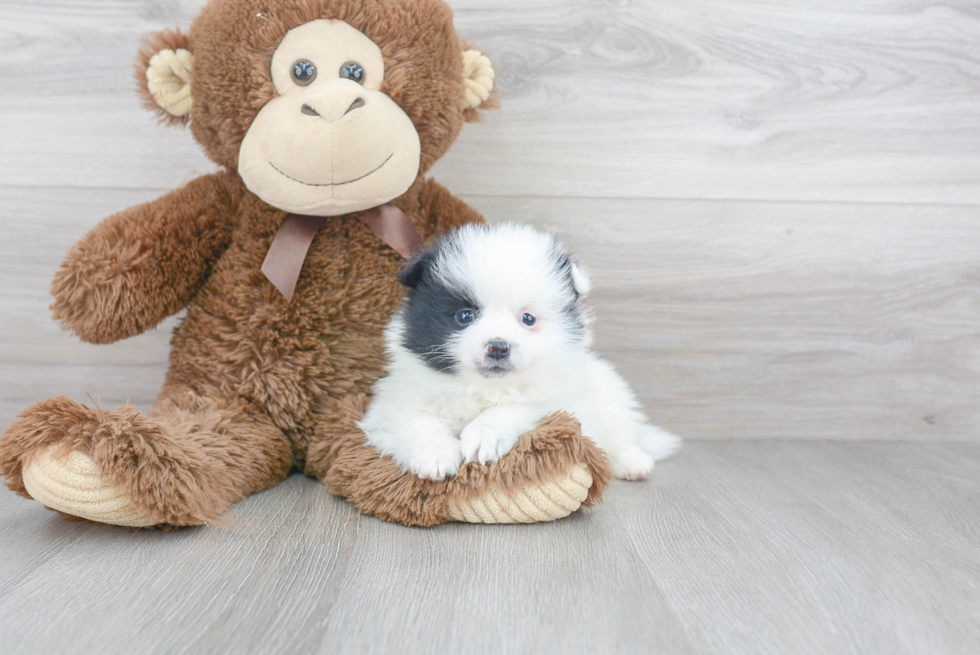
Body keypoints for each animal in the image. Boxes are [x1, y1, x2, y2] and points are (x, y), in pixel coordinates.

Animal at [360, 224, 680, 482]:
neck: (482, 387)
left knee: (620, 434)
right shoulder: (394, 401)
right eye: (464, 316)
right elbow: (416, 420)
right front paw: (435, 454)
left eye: (528, 319)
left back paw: (632, 462)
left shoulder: (561, 400)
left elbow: (516, 407)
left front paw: (484, 435)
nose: (498, 346)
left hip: (610, 398)